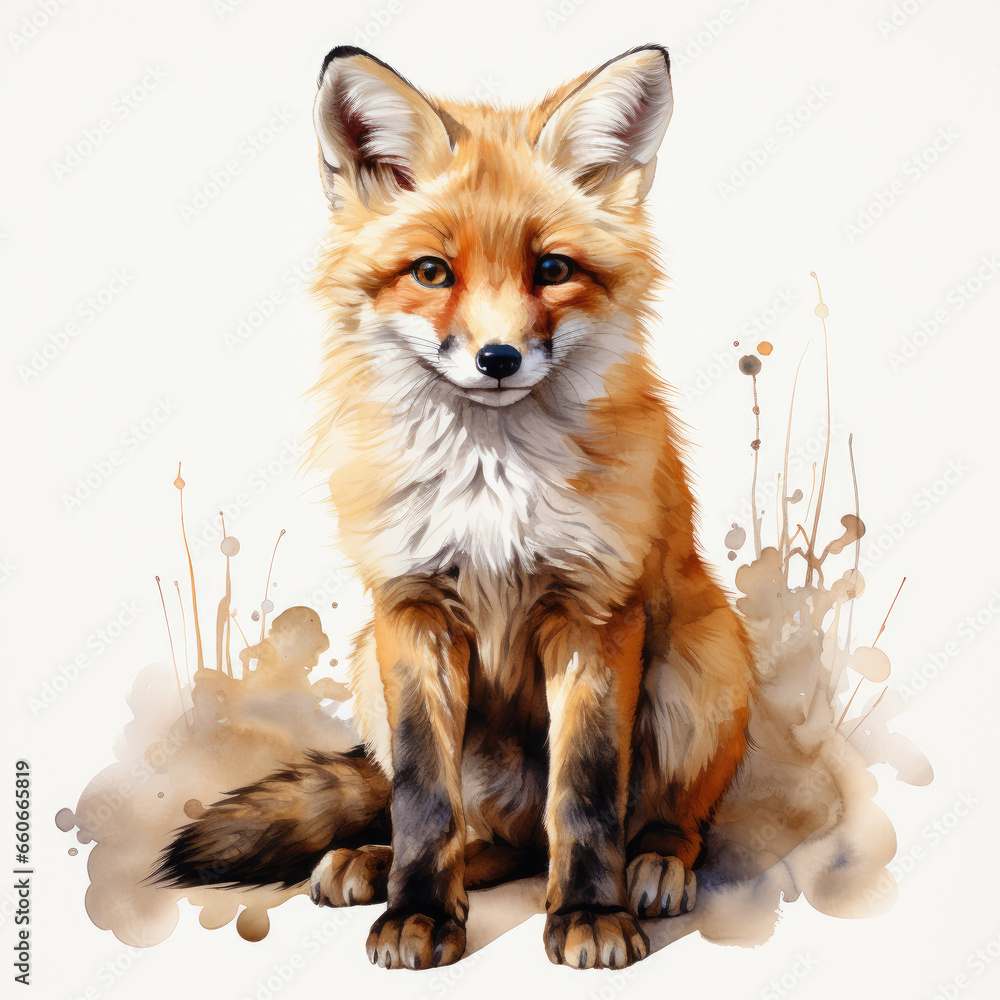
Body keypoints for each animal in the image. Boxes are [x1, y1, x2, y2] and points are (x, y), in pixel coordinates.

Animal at [156, 43, 758, 971]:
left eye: (553, 269)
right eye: (432, 272)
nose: (499, 358)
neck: (490, 485)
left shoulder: (594, 616)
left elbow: (586, 793)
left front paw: (589, 913)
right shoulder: (411, 613)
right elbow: (420, 797)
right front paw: (420, 913)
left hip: (707, 661)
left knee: (642, 819)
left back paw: (653, 864)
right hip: (369, 668)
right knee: (487, 838)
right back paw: (376, 863)